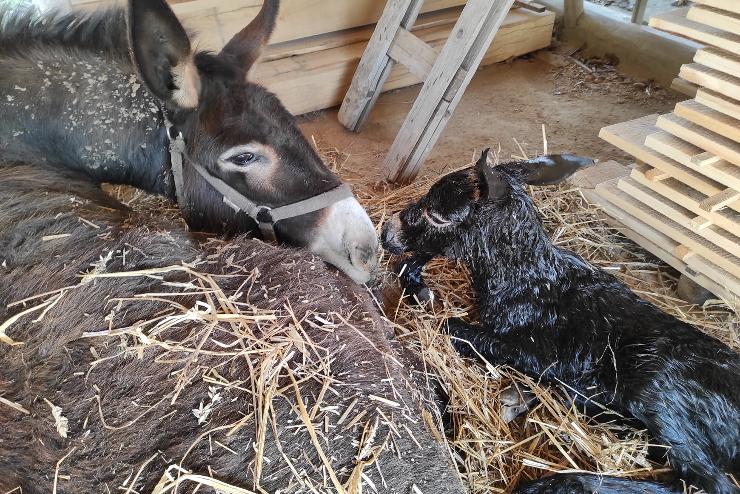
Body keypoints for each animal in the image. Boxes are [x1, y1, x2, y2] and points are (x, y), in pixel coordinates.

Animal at [382, 151, 740, 494]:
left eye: (438, 215)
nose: (386, 232)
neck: (526, 283)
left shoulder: (535, 350)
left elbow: (449, 327)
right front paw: (421, 287)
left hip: (656, 389)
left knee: (707, 482)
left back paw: (546, 480)